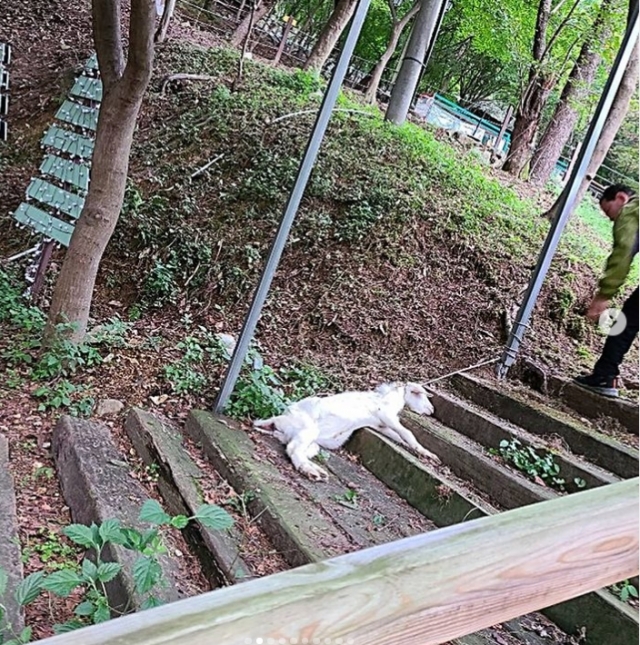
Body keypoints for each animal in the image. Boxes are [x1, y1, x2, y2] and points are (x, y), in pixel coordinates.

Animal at [252, 382, 438, 478]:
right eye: (420, 395)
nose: (431, 410)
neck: (388, 398)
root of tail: (278, 420)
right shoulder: (386, 415)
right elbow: (407, 433)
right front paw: (428, 454)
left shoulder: (380, 425)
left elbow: (398, 436)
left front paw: (422, 452)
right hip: (308, 430)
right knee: (292, 449)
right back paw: (311, 472)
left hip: (310, 442)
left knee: (294, 447)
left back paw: (315, 470)